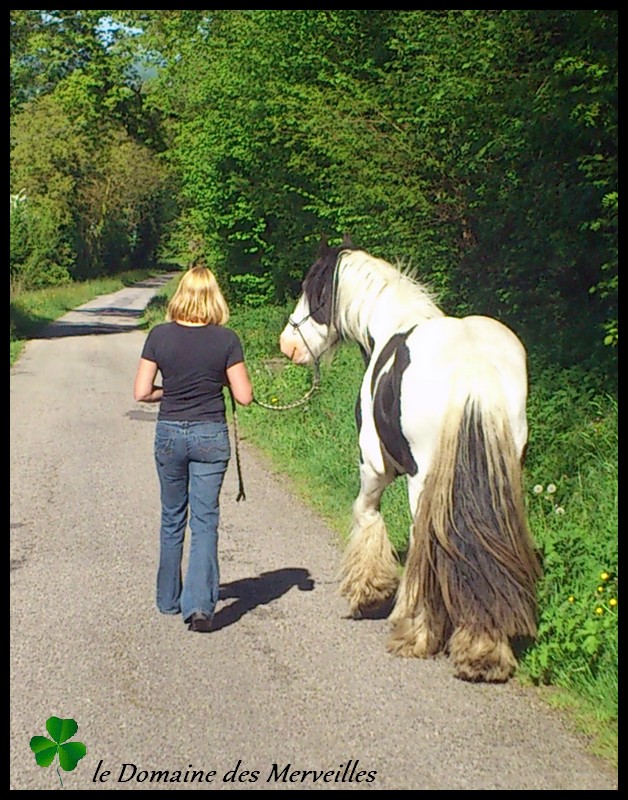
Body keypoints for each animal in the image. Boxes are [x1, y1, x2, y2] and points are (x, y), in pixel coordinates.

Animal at [280, 231, 540, 680]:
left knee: (428, 542)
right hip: (500, 477)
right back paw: (483, 647)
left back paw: (417, 631)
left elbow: (366, 516)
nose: (289, 344)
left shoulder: (373, 466)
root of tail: (472, 363)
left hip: (423, 484)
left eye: (312, 287)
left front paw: (369, 592)